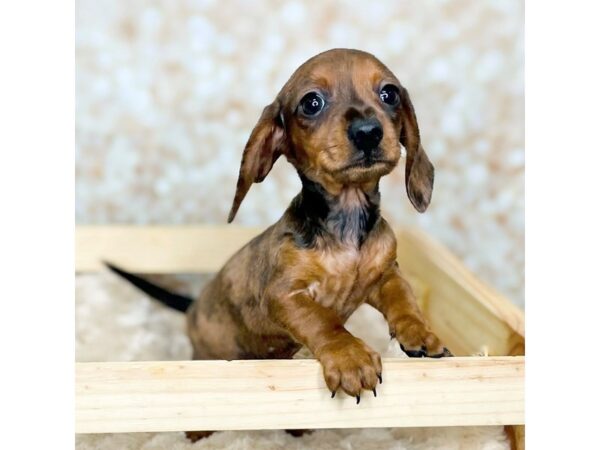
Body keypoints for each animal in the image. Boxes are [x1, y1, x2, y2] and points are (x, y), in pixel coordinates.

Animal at [110, 48, 450, 436]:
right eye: (312, 103)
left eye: (389, 94)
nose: (368, 132)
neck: (347, 226)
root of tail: (193, 306)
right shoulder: (285, 295)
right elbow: (323, 320)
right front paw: (349, 356)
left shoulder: (386, 275)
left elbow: (404, 300)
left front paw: (420, 333)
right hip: (207, 355)